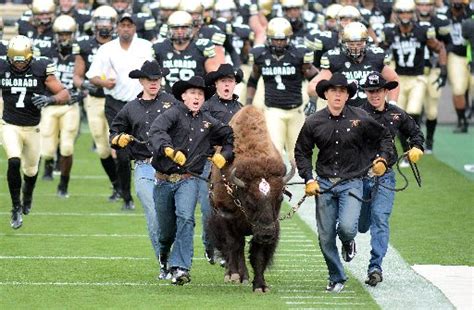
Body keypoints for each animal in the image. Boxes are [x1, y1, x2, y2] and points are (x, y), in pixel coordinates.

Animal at [206, 105, 294, 292]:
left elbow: (258, 255)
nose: (267, 233)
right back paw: (236, 275)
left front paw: (260, 286)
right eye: (249, 200)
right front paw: (236, 276)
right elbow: (234, 245)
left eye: (280, 198)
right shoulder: (225, 217)